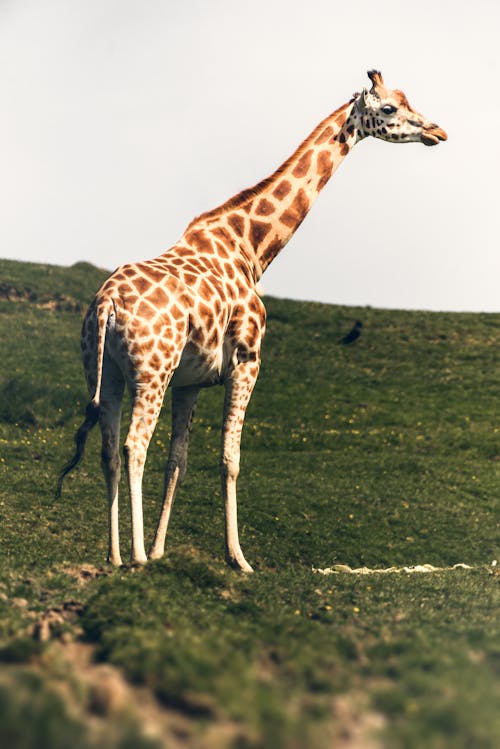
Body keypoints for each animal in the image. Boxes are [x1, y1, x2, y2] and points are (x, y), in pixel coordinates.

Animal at [57, 71, 446, 572]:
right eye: (390, 109)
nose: (437, 131)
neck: (251, 249)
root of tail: (106, 304)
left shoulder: (190, 381)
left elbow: (178, 460)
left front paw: (164, 552)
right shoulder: (247, 360)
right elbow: (230, 458)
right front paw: (237, 558)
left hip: (105, 373)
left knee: (108, 450)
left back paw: (116, 556)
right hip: (150, 372)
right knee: (132, 446)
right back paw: (137, 556)